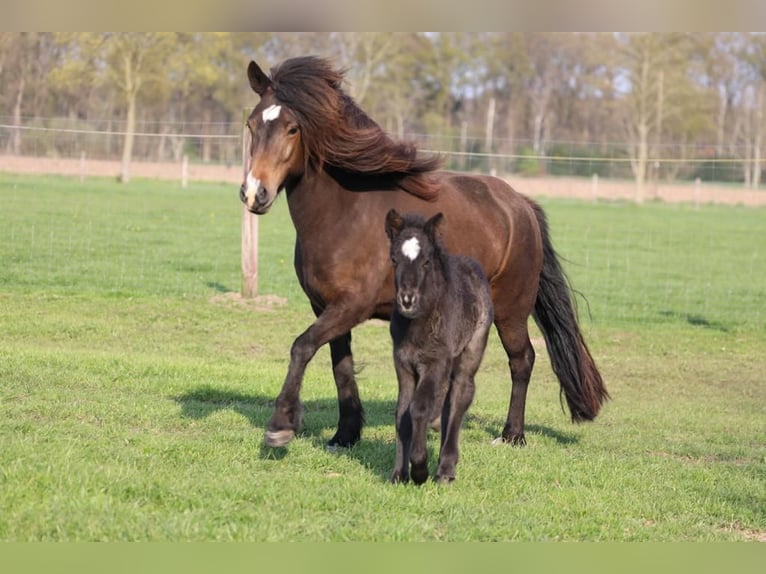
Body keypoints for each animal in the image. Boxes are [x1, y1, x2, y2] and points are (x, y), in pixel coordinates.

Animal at [240, 55, 609, 449]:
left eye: (293, 128)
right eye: (251, 124)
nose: (254, 193)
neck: (343, 214)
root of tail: (520, 204)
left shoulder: (352, 306)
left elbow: (301, 346)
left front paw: (281, 425)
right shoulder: (325, 307)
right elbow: (340, 365)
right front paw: (345, 433)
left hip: (511, 309)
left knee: (522, 359)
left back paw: (512, 435)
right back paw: (436, 421)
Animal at [385, 209, 493, 484]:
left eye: (425, 261)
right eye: (394, 259)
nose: (407, 299)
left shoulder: (434, 362)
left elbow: (419, 407)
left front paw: (419, 468)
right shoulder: (403, 363)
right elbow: (402, 414)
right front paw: (399, 474)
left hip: (470, 350)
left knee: (460, 396)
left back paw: (446, 468)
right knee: (446, 401)